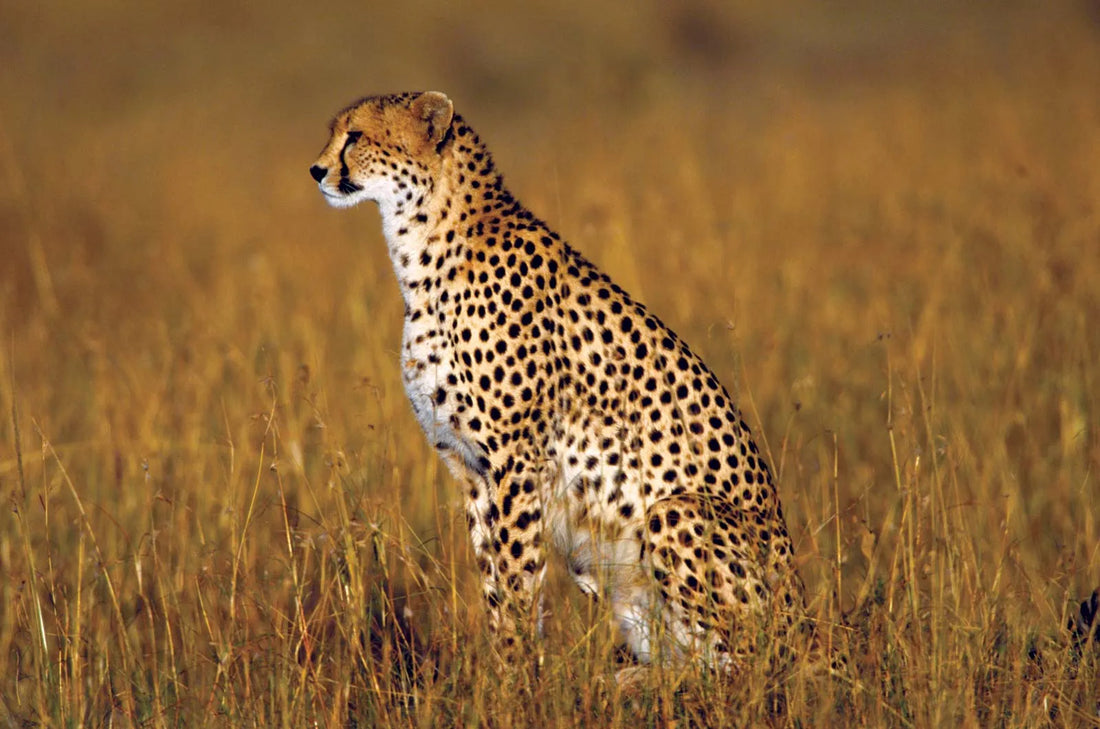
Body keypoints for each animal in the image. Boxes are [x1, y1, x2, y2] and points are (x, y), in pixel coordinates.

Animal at [308, 91, 827, 679]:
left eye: (356, 136)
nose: (317, 170)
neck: (423, 242)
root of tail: (810, 624)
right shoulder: (471, 469)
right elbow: (495, 582)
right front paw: (504, 673)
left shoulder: (516, 462)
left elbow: (517, 580)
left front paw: (515, 678)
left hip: (675, 514)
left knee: (753, 668)